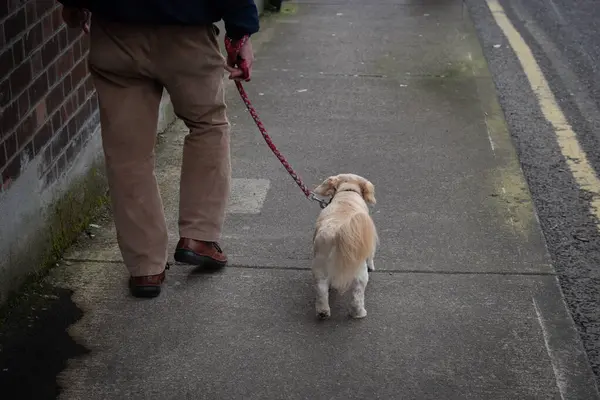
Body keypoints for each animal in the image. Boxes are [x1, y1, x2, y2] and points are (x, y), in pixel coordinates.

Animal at [312, 172, 378, 318]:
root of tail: (337, 232)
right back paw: (359, 313)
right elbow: (371, 256)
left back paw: (323, 311)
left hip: (321, 264)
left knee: (321, 288)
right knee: (357, 296)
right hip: (360, 270)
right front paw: (372, 266)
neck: (347, 191)